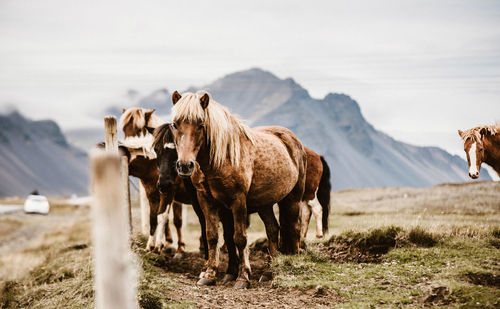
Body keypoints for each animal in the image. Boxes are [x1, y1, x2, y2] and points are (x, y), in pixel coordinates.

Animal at [119, 107, 207, 256]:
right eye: (123, 129)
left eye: (139, 129)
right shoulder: (153, 194)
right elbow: (154, 218)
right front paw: (153, 246)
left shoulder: (168, 193)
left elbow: (165, 217)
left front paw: (162, 246)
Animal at [170, 90, 306, 288]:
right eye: (175, 124)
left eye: (201, 125)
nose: (185, 165)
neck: (221, 159)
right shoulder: (207, 201)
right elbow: (212, 236)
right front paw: (209, 275)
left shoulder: (238, 201)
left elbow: (240, 238)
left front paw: (243, 277)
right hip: (265, 204)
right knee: (273, 230)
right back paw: (268, 272)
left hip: (293, 199)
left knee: (294, 228)